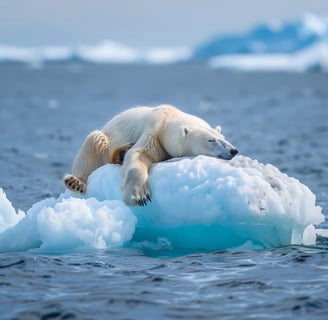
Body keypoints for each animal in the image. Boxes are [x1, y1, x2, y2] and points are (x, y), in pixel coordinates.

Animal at [64, 104, 238, 206]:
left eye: (223, 137)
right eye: (211, 140)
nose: (233, 150)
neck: (168, 117)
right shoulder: (153, 131)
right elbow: (139, 154)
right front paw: (139, 195)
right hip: (105, 140)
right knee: (95, 139)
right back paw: (76, 182)